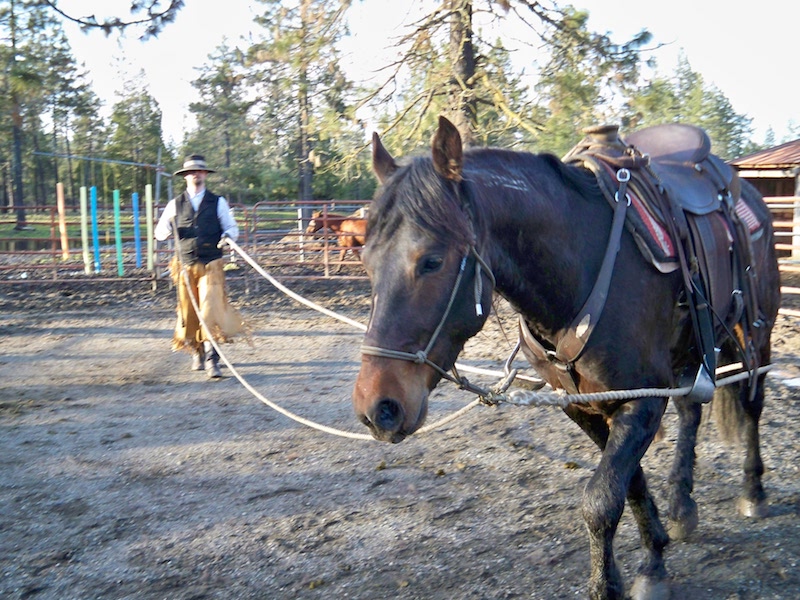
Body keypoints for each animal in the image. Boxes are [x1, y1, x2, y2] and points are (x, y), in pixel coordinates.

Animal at [352, 117, 780, 599]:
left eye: (431, 260)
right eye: (365, 260)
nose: (378, 407)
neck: (582, 270)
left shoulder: (644, 400)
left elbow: (601, 500)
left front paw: (624, 579)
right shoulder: (583, 406)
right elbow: (629, 483)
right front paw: (654, 552)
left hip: (755, 333)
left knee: (751, 405)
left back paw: (753, 491)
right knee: (692, 410)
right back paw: (682, 507)